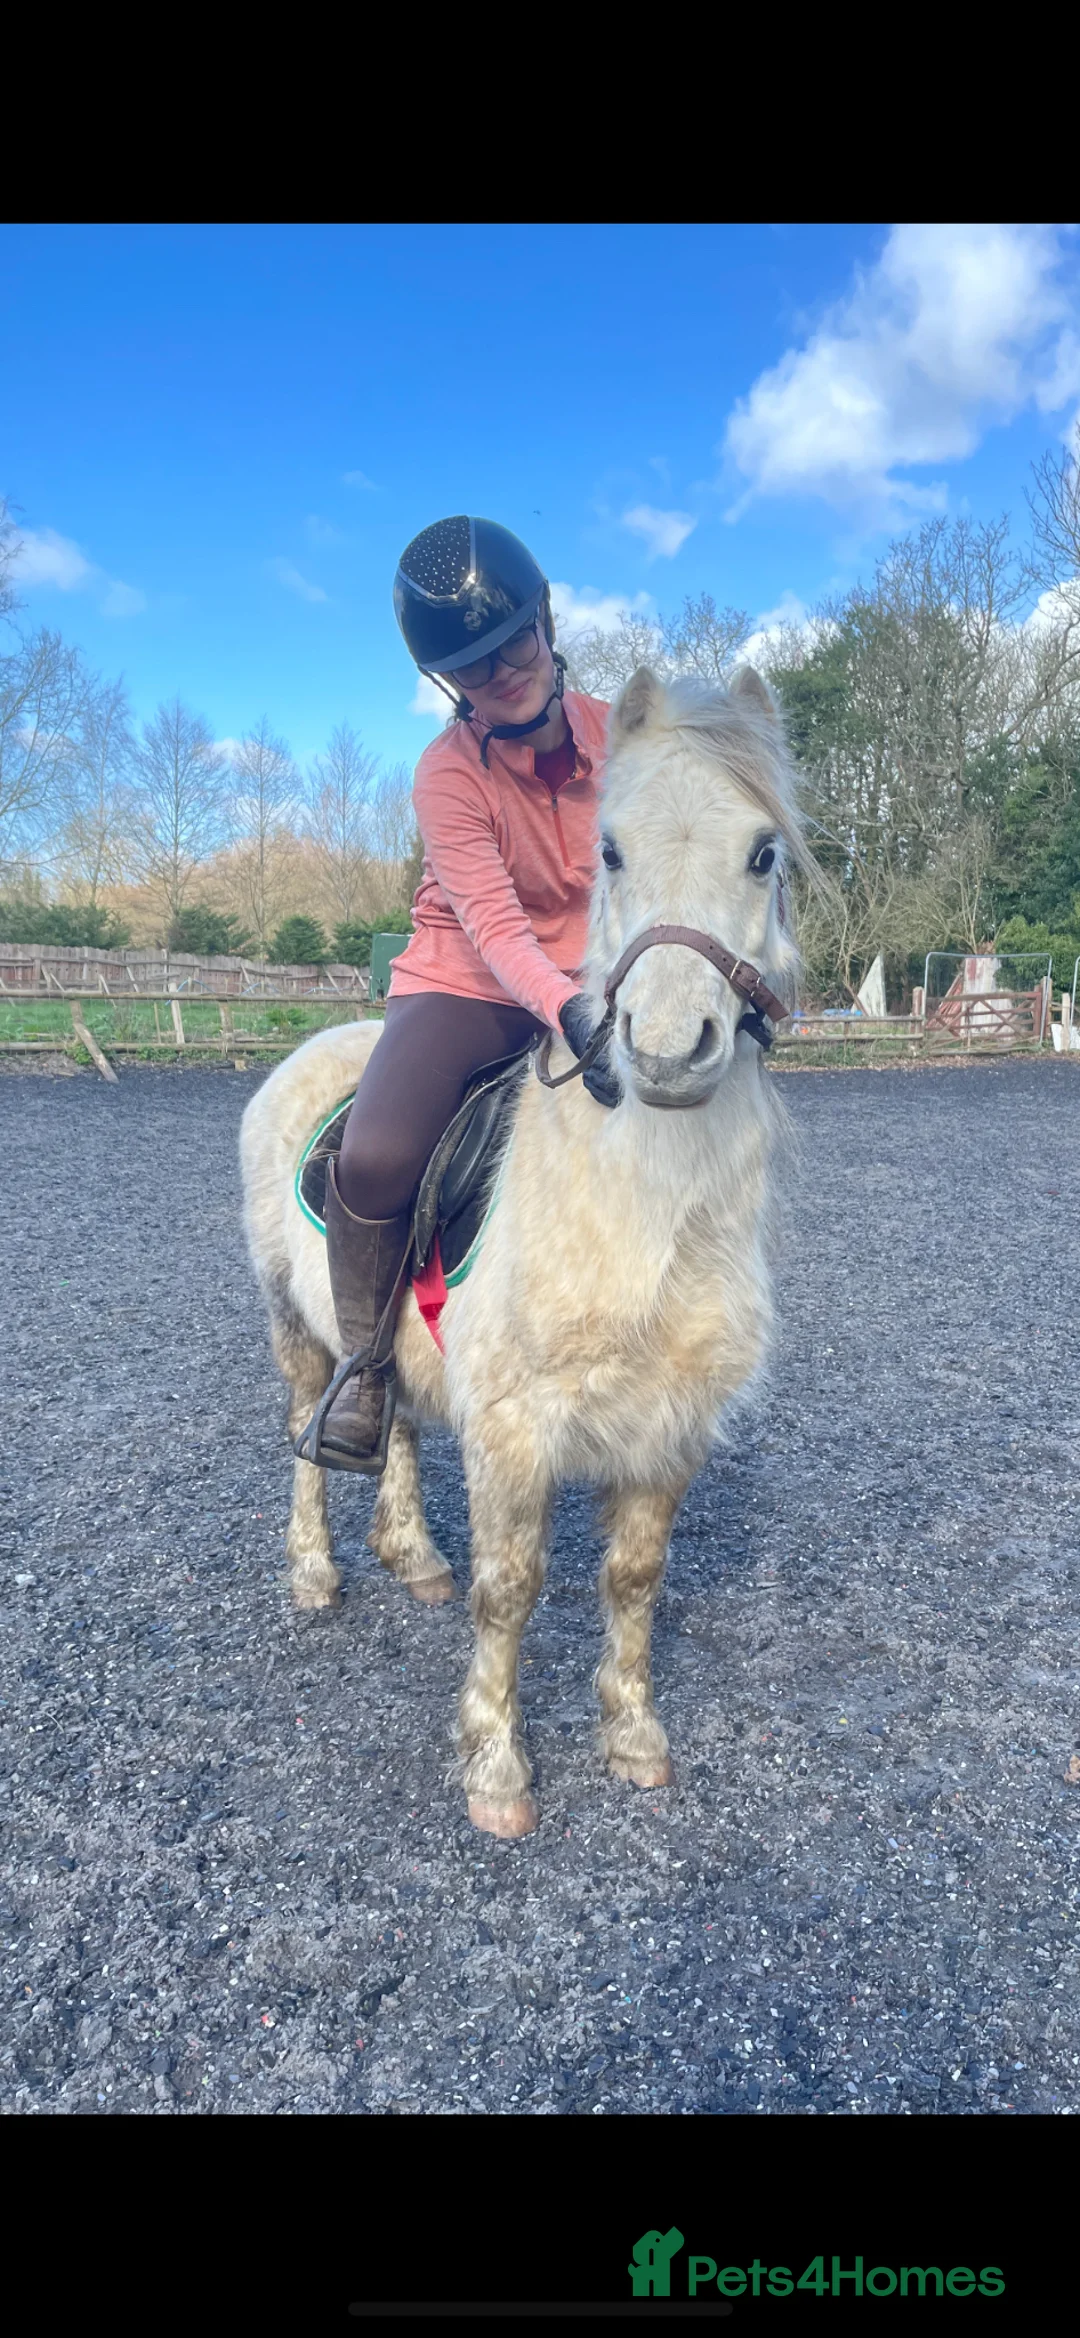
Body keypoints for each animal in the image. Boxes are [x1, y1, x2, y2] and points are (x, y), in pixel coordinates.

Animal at [239, 664, 808, 1839]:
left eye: (763, 852)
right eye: (612, 850)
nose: (667, 1050)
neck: (645, 1211)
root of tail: (314, 1048)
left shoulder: (669, 1429)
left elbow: (634, 1579)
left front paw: (632, 1735)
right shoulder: (513, 1430)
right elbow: (510, 1591)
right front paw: (497, 1769)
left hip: (395, 1351)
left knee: (396, 1422)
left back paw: (411, 1555)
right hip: (293, 1326)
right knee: (306, 1431)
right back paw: (315, 1572)